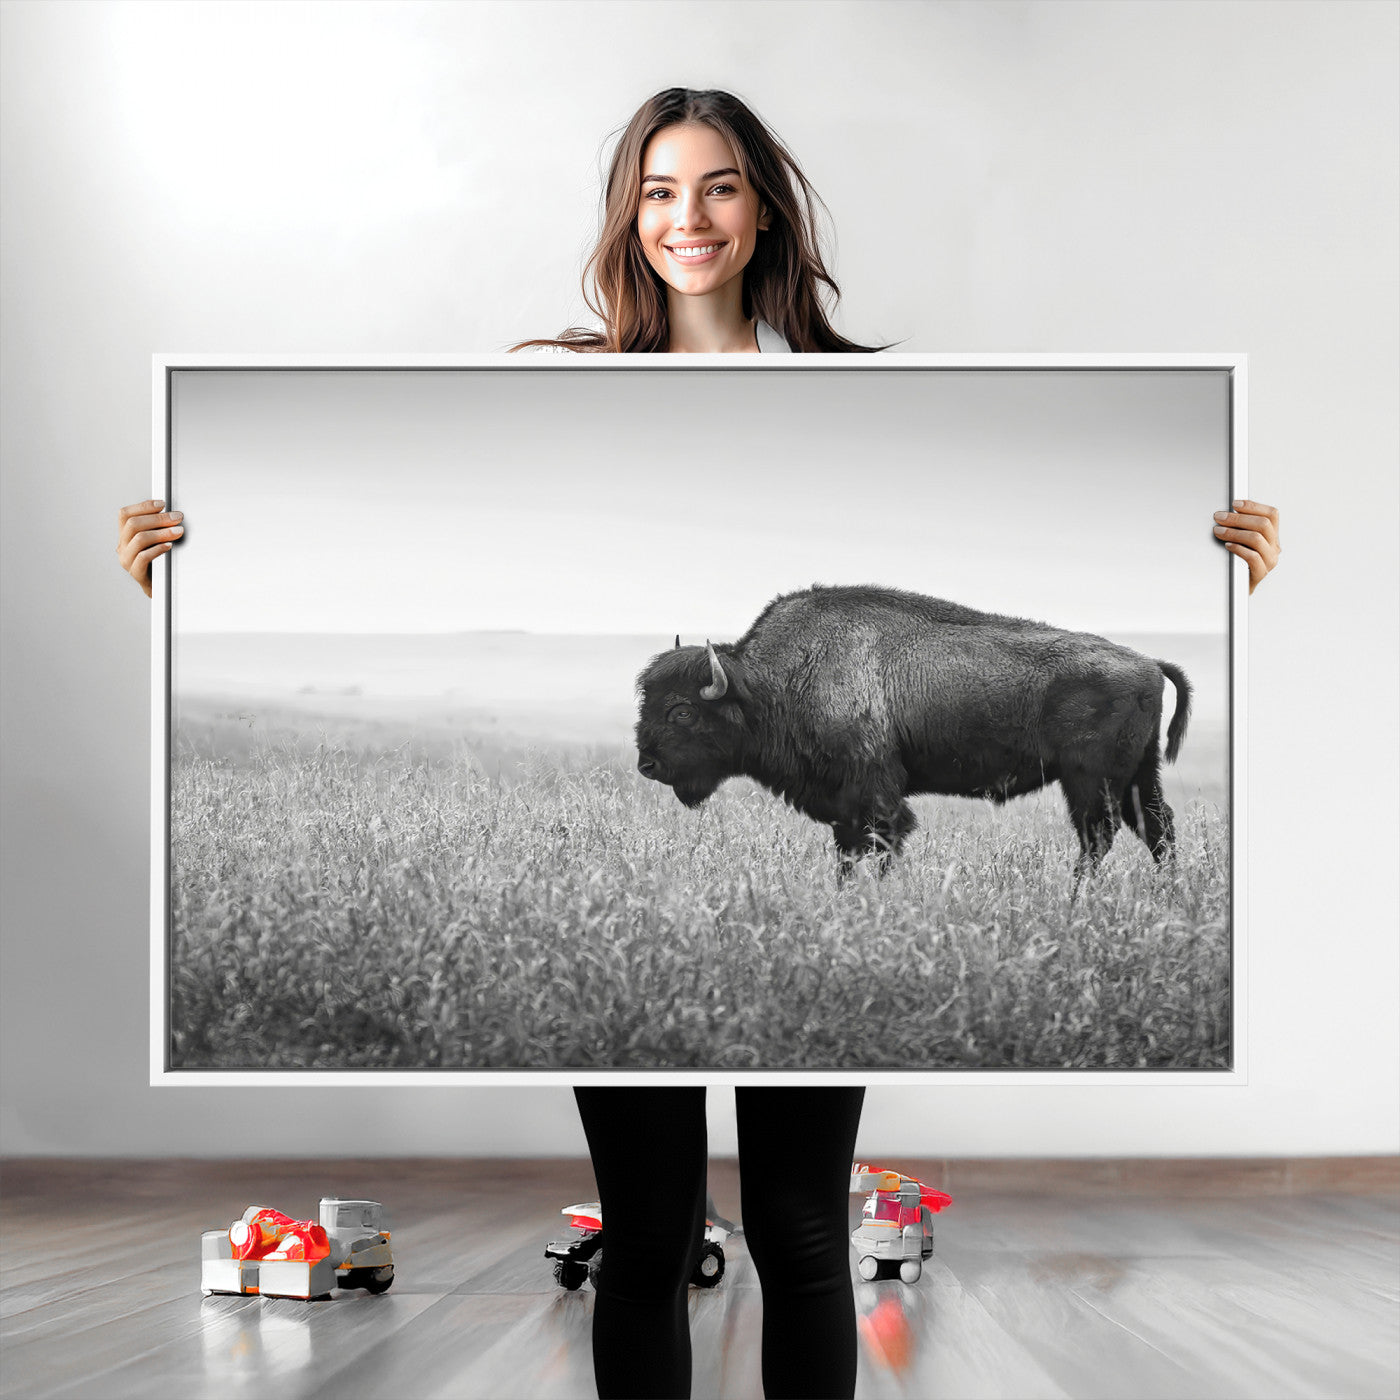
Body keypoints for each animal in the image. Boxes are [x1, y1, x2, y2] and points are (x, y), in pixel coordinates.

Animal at [634, 585, 1191, 883]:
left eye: (681, 711)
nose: (647, 765)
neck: (773, 682)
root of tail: (1148, 663)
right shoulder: (844, 805)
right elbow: (849, 851)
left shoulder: (875, 794)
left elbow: (881, 843)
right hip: (1138, 774)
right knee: (1156, 827)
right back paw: (1166, 893)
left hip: (1090, 780)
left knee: (1100, 835)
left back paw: (1075, 896)